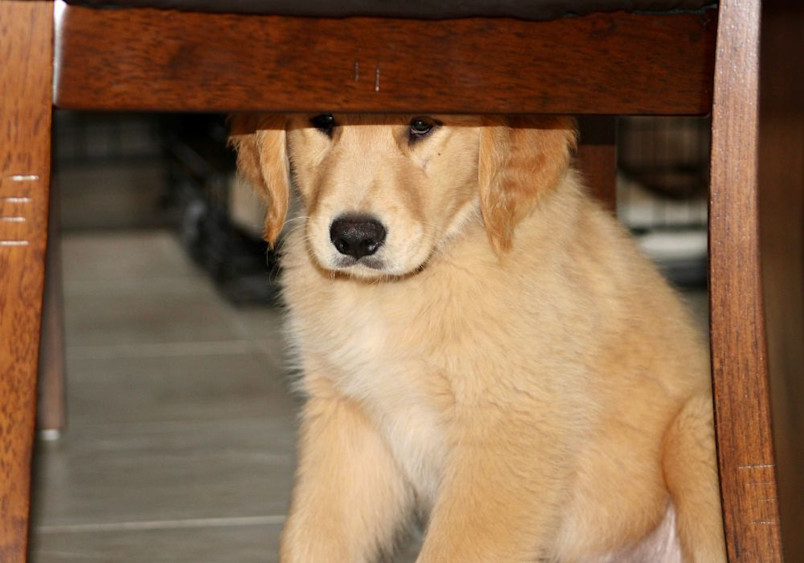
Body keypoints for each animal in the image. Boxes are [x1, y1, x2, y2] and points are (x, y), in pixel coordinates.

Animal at [229, 115, 724, 563]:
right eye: (324, 120)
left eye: (422, 125)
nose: (354, 238)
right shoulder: (347, 417)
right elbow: (313, 538)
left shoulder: (509, 428)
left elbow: (457, 548)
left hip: (696, 427)